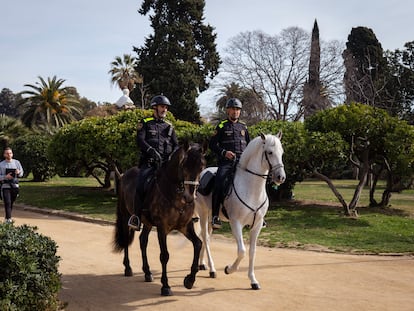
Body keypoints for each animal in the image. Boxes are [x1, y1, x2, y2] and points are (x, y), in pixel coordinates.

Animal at [114, 143, 206, 296]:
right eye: (184, 166)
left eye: (202, 166)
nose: (189, 197)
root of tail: (123, 175)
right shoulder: (162, 228)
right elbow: (164, 255)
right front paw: (165, 286)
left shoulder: (185, 226)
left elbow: (198, 244)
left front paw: (190, 280)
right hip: (126, 216)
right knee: (127, 240)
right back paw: (128, 268)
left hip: (147, 223)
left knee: (143, 241)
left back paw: (147, 272)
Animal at [194, 133, 284, 292]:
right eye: (270, 152)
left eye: (282, 153)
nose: (281, 177)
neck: (251, 189)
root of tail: (204, 172)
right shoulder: (236, 223)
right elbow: (242, 251)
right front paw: (229, 269)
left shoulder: (257, 226)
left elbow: (252, 252)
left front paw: (253, 280)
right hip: (203, 212)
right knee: (205, 236)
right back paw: (212, 269)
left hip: (211, 215)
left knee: (207, 237)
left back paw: (203, 264)